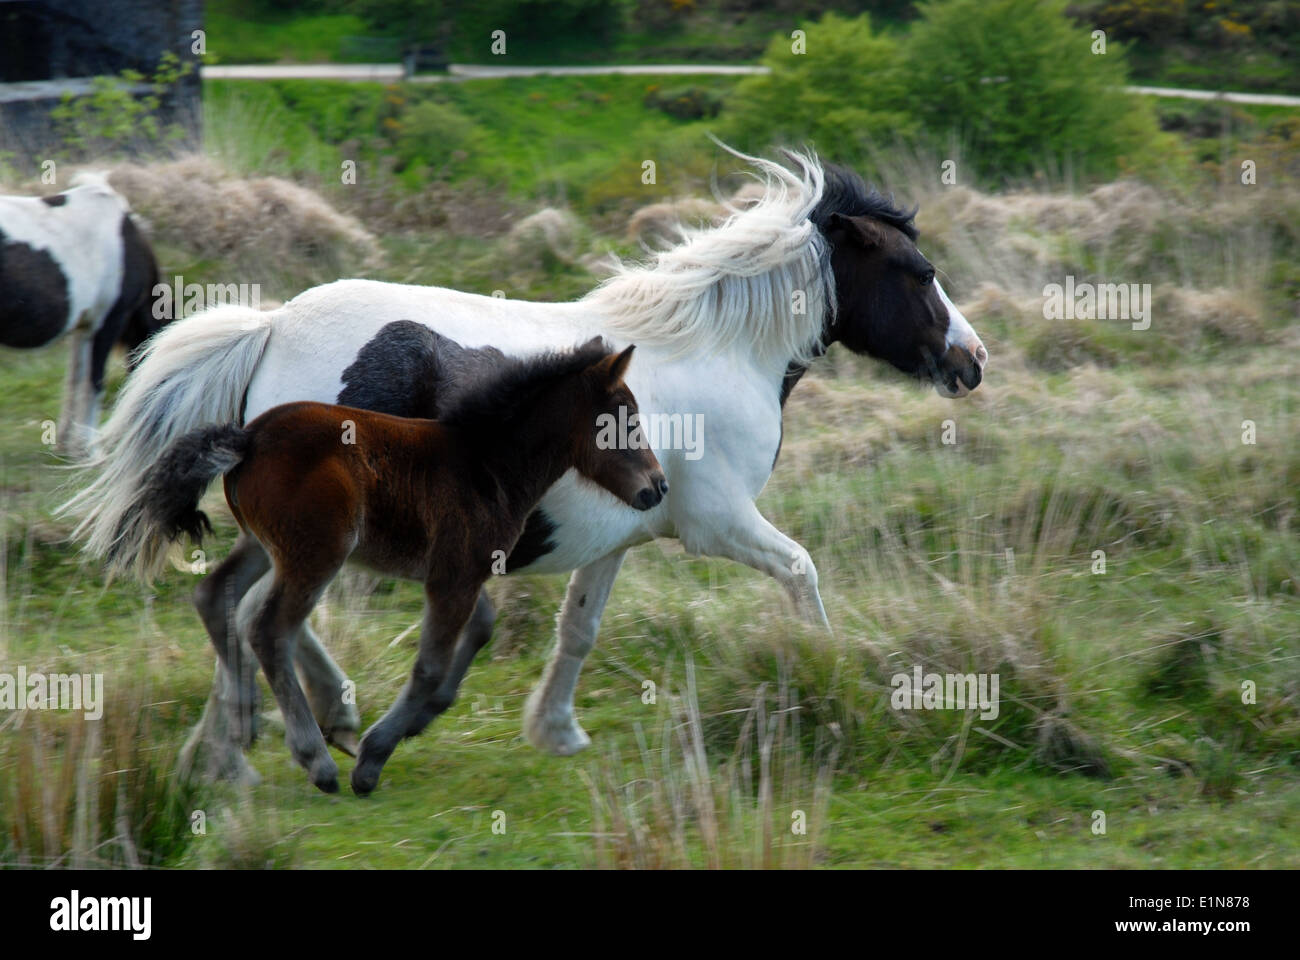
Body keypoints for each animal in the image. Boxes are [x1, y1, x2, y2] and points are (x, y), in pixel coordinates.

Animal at [0, 172, 162, 456]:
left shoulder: (83, 325)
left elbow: (75, 379)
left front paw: (67, 445)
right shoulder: (108, 321)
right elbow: (94, 382)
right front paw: (90, 449)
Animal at [127, 339, 664, 794]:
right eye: (621, 422)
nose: (656, 488)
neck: (484, 463)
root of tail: (248, 437)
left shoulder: (457, 573)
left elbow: (479, 629)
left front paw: (419, 719)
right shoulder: (453, 577)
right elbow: (429, 665)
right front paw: (372, 758)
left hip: (262, 544)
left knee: (216, 592)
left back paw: (246, 715)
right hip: (316, 554)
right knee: (269, 629)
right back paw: (315, 759)